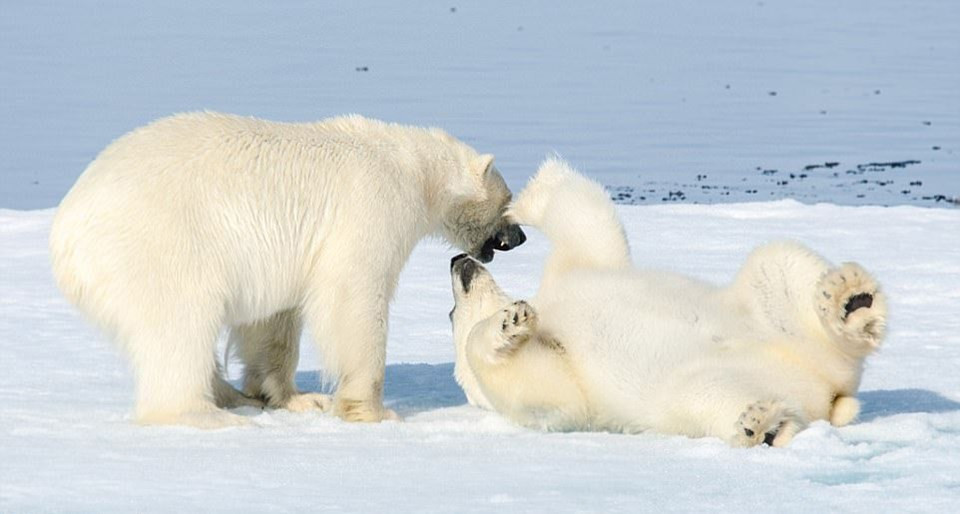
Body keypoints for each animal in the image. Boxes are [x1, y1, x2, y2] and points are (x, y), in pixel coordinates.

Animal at [51, 113, 524, 428]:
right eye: (509, 201)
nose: (519, 236)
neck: (411, 167)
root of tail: (65, 233)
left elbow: (273, 321)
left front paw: (295, 398)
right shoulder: (372, 204)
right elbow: (353, 297)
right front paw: (372, 410)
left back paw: (229, 396)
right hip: (158, 243)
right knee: (179, 322)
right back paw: (204, 414)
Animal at [448, 160, 884, 444]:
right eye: (451, 314)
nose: (456, 263)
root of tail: (829, 392)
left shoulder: (572, 275)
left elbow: (589, 229)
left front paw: (530, 195)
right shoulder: (560, 391)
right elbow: (545, 388)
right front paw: (510, 321)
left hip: (771, 323)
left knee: (776, 264)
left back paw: (852, 301)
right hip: (696, 388)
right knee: (710, 395)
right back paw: (764, 425)